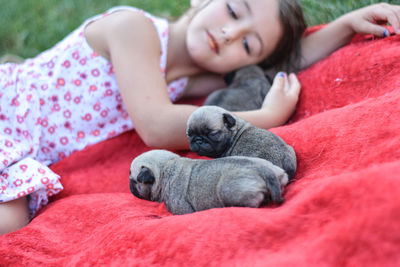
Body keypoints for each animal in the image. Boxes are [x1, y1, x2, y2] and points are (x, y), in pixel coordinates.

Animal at [129, 151, 288, 216]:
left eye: (132, 178)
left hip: (226, 190)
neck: (167, 165)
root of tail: (263, 170)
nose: (130, 186)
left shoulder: (181, 209)